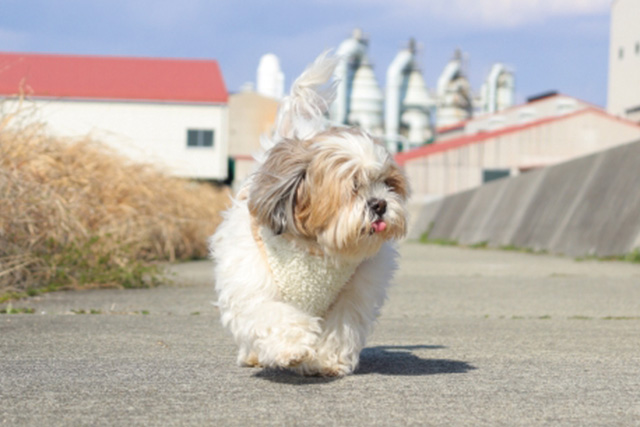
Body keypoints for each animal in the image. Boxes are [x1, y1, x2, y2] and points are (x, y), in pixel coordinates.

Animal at [210, 51, 410, 376]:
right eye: (354, 186)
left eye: (387, 184)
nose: (380, 204)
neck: (315, 247)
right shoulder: (255, 284)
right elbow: (272, 313)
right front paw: (292, 349)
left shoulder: (352, 294)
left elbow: (340, 326)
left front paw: (327, 360)